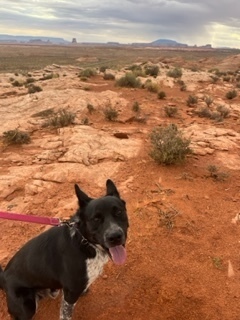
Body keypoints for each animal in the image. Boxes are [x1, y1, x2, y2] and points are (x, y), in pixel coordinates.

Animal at [0, 179, 129, 318]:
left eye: (118, 212)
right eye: (96, 218)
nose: (115, 236)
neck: (84, 242)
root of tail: (4, 276)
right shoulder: (71, 293)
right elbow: (66, 313)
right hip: (27, 307)